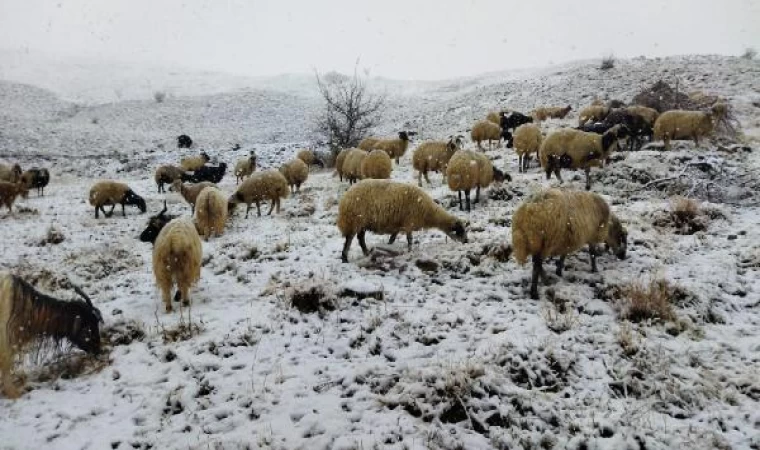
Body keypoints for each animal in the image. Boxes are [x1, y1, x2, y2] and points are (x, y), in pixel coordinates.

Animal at [338, 179, 470, 262]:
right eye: (459, 231)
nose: (466, 241)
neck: (429, 212)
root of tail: (345, 197)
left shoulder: (399, 224)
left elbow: (393, 237)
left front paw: (389, 245)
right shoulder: (409, 223)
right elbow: (409, 239)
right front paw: (410, 251)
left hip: (362, 223)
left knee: (360, 238)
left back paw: (366, 253)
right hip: (354, 221)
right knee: (349, 240)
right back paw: (345, 258)